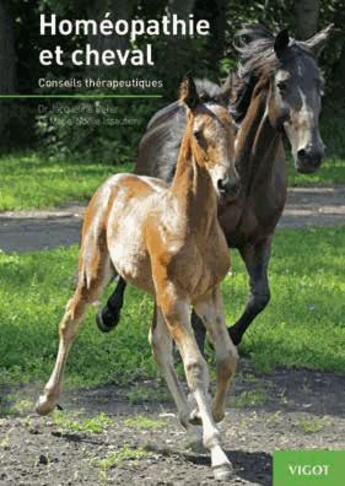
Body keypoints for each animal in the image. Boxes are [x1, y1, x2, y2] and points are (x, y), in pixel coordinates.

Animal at [35, 78, 239, 480]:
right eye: (198, 133)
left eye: (235, 130)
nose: (228, 183)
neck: (191, 223)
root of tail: (113, 180)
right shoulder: (176, 294)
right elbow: (196, 365)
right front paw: (218, 453)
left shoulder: (207, 293)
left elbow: (226, 356)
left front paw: (210, 414)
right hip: (96, 271)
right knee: (70, 321)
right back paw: (47, 401)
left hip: (159, 293)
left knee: (157, 345)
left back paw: (188, 421)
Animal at [96, 24, 330, 348]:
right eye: (283, 85)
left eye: (320, 85)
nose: (311, 154)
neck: (245, 179)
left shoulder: (258, 241)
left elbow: (260, 296)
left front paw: (230, 336)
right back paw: (109, 315)